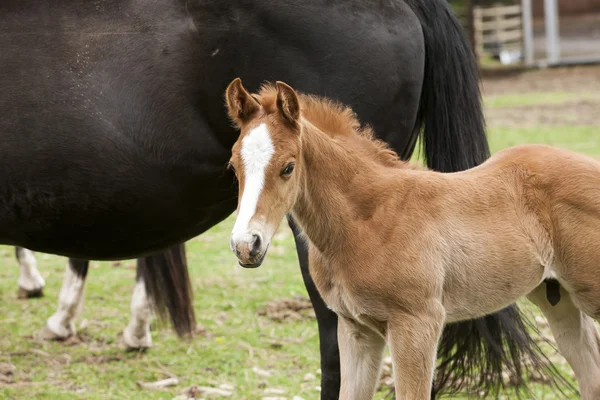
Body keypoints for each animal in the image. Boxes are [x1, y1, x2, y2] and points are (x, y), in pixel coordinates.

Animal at [224, 76, 600, 398]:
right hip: (557, 297)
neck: (367, 219)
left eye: (288, 167)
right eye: (234, 166)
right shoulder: (355, 329)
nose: (246, 245)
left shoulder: (417, 323)